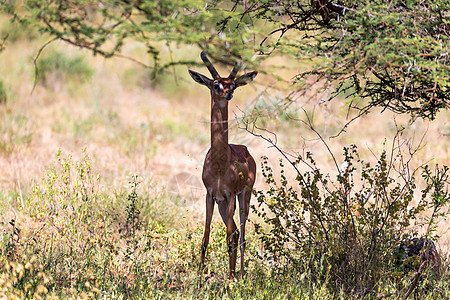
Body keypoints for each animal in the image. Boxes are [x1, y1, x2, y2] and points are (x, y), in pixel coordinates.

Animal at [188, 51, 256, 278]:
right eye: (216, 84)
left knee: (240, 236)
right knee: (235, 232)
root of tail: (245, 149)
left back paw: (239, 275)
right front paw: (200, 278)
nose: (228, 94)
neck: (219, 164)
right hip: (223, 205)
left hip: (243, 198)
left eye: (233, 84)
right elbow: (205, 237)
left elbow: (228, 239)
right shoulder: (210, 195)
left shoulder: (230, 194)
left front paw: (231, 280)